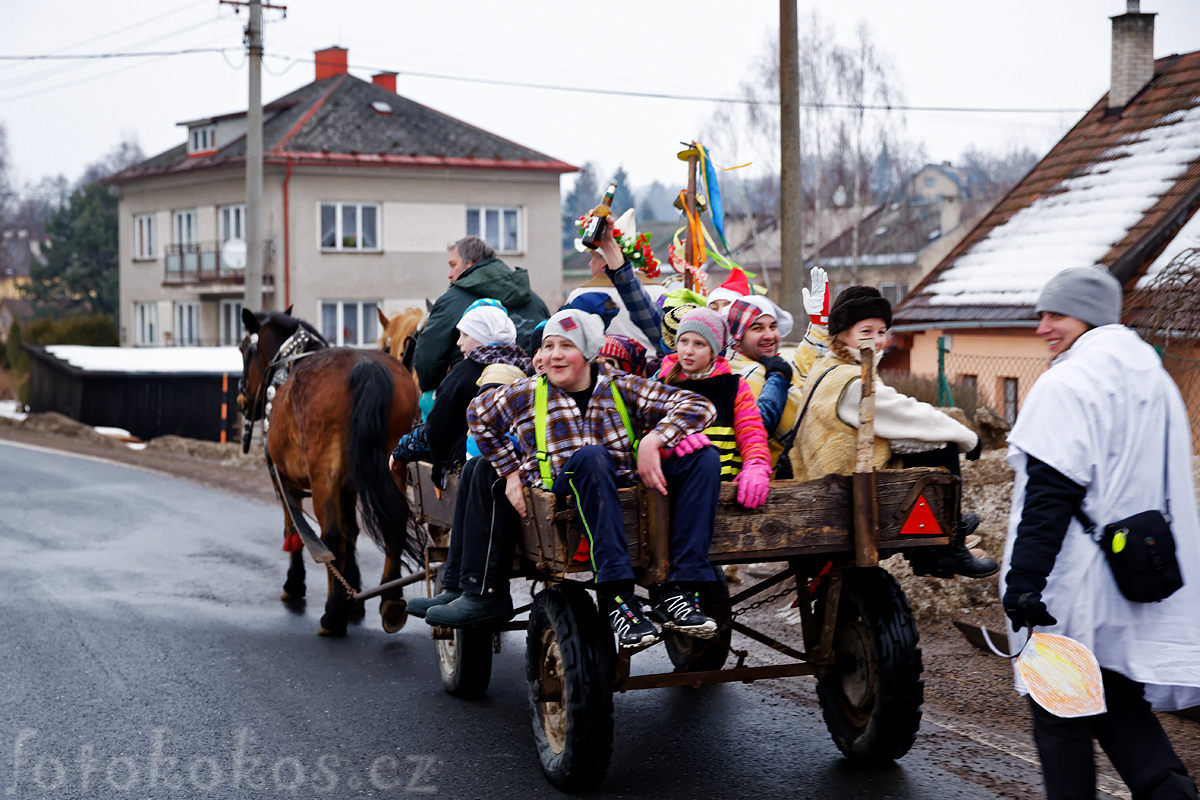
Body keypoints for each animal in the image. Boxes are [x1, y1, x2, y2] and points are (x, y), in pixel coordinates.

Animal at [236, 309, 420, 638]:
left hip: (323, 478)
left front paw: (296, 584)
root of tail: (366, 366)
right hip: (393, 465)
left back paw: (333, 617)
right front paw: (353, 594)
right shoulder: (347, 486)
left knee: (330, 538)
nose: (241, 401)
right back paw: (390, 598)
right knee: (393, 523)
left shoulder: (285, 482)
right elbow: (352, 532)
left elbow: (294, 531)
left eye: (244, 350)